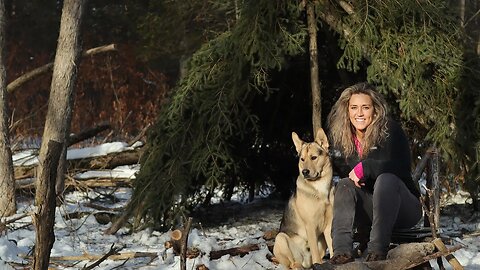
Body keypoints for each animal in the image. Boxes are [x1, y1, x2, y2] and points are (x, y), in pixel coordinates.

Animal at [274, 127, 334, 268]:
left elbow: (332, 245)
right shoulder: (310, 225)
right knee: (291, 263)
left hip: (321, 240)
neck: (319, 188)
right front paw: (318, 264)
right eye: (302, 159)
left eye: (314, 157)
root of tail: (304, 261)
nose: (304, 172)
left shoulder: (329, 225)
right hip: (281, 239)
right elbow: (315, 250)